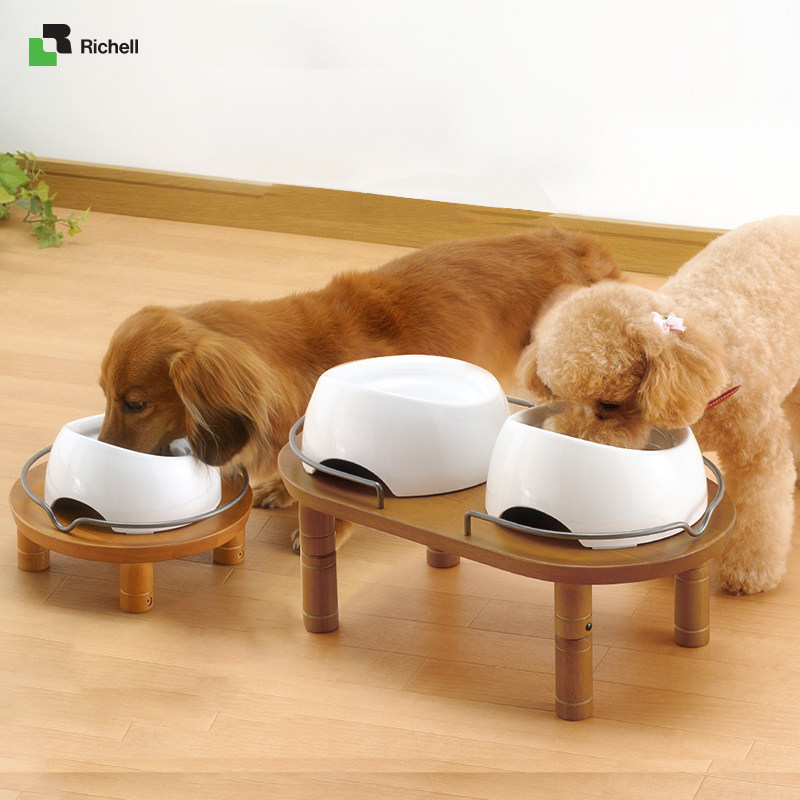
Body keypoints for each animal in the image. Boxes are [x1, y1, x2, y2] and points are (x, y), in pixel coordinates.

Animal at [98, 226, 619, 544]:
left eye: (135, 403)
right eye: (104, 393)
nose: (105, 453)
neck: (296, 359)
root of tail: (580, 246)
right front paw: (282, 490)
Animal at [517, 215, 800, 594]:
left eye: (609, 404)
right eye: (563, 399)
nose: (575, 443)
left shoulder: (758, 454)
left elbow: (759, 515)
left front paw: (747, 573)